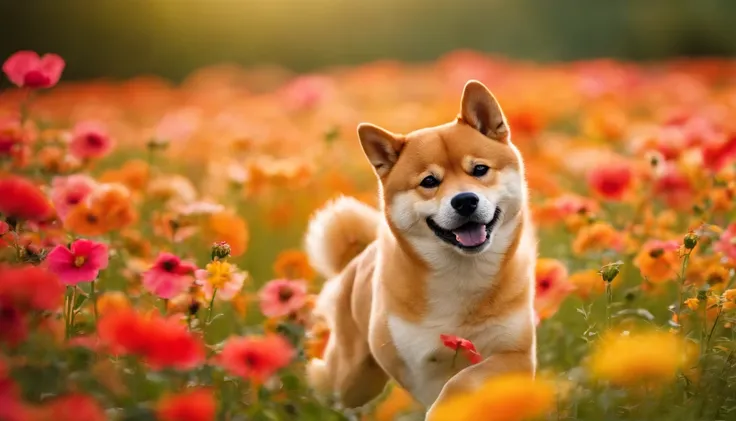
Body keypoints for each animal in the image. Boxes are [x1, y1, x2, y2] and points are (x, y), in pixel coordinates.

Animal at [302, 79, 536, 416]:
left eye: (479, 169)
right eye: (429, 181)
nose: (465, 200)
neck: (463, 276)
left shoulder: (515, 354)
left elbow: (462, 382)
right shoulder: (420, 363)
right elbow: (448, 386)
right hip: (354, 377)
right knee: (329, 383)